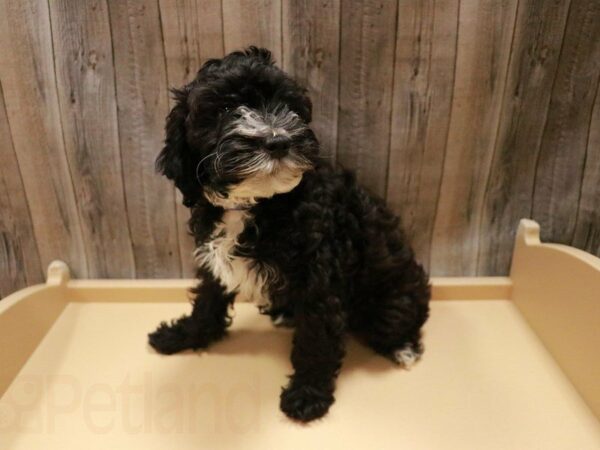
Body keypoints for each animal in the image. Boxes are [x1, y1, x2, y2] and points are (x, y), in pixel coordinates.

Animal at [150, 46, 432, 422]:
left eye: (289, 106)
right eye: (223, 109)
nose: (278, 141)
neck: (257, 202)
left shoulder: (320, 282)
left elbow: (316, 341)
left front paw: (307, 396)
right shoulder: (213, 259)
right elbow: (207, 302)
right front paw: (182, 336)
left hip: (392, 298)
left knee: (399, 321)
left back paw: (404, 348)